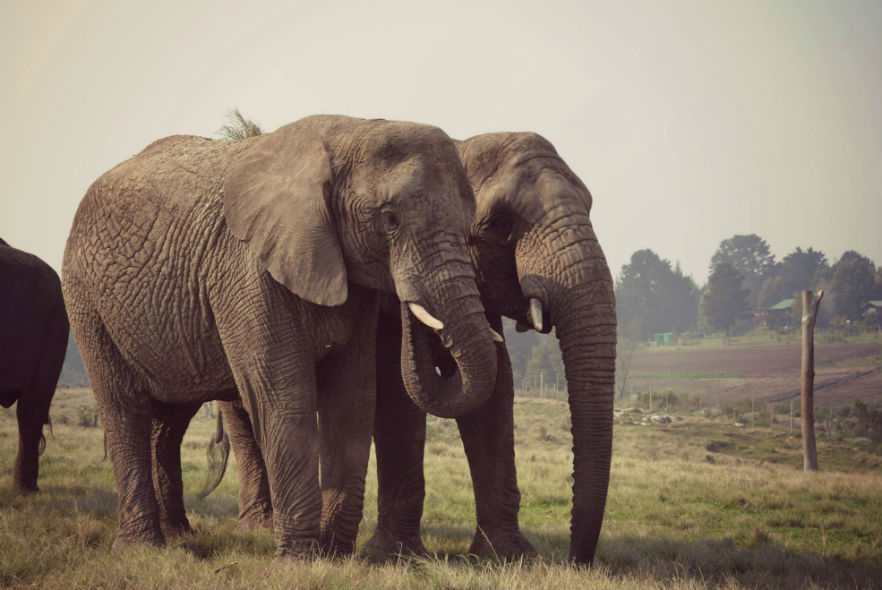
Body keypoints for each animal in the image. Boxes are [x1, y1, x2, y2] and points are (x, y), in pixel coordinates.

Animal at [60, 114, 502, 560]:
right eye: (389, 218)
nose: (403, 301)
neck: (351, 131)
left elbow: (353, 397)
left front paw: (333, 554)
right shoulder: (245, 269)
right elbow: (284, 395)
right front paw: (302, 559)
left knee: (167, 421)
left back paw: (177, 540)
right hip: (86, 300)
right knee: (124, 409)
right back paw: (141, 549)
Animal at [196, 131, 616, 568]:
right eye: (503, 224)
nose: (576, 561)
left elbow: (494, 394)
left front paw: (506, 558)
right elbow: (397, 394)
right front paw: (397, 556)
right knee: (248, 414)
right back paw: (260, 529)